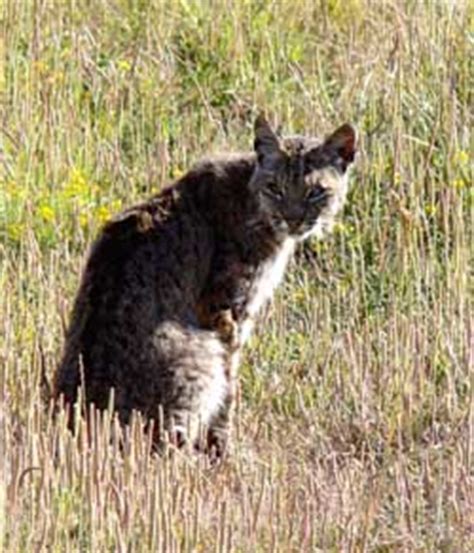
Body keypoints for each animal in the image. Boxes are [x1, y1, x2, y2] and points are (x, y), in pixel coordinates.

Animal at [54, 114, 356, 454]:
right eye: (275, 189)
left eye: (315, 192)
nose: (293, 220)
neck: (252, 198)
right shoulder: (225, 310)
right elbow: (230, 379)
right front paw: (223, 448)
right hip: (199, 353)